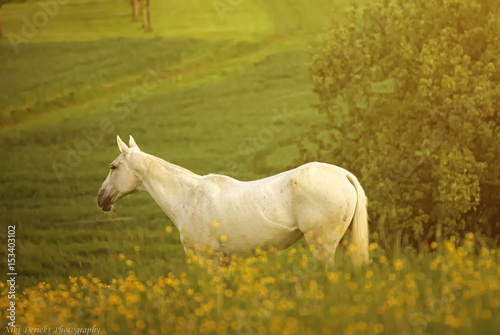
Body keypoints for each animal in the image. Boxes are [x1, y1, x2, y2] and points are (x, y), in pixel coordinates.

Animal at [97, 135, 370, 266]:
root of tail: (343, 174)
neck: (188, 196)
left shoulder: (208, 260)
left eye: (113, 167)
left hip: (322, 246)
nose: (101, 199)